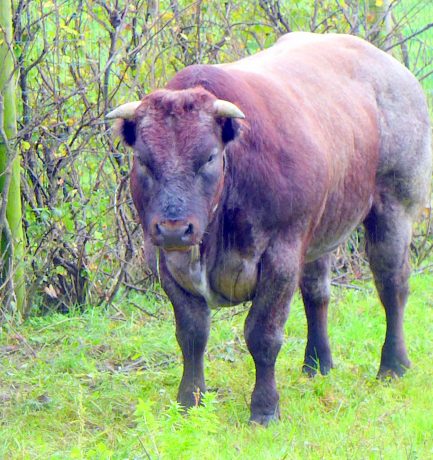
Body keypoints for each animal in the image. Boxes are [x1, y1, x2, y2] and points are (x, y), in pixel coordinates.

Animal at [106, 32, 430, 426]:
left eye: (209, 157)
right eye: (143, 159)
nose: (174, 228)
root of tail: (393, 70)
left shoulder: (281, 255)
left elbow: (263, 334)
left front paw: (264, 407)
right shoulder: (166, 261)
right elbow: (192, 334)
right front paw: (189, 401)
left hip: (394, 208)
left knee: (392, 285)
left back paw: (393, 365)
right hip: (321, 232)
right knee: (317, 293)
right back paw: (317, 363)